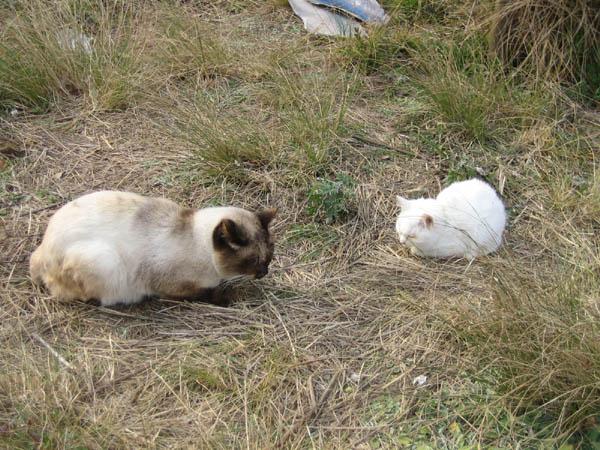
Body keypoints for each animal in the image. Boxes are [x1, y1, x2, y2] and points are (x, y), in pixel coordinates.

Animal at [29, 190, 278, 306]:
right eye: (254, 261)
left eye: (269, 257)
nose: (264, 272)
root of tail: (41, 249)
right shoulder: (171, 287)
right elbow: (207, 293)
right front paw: (228, 296)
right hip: (105, 261)